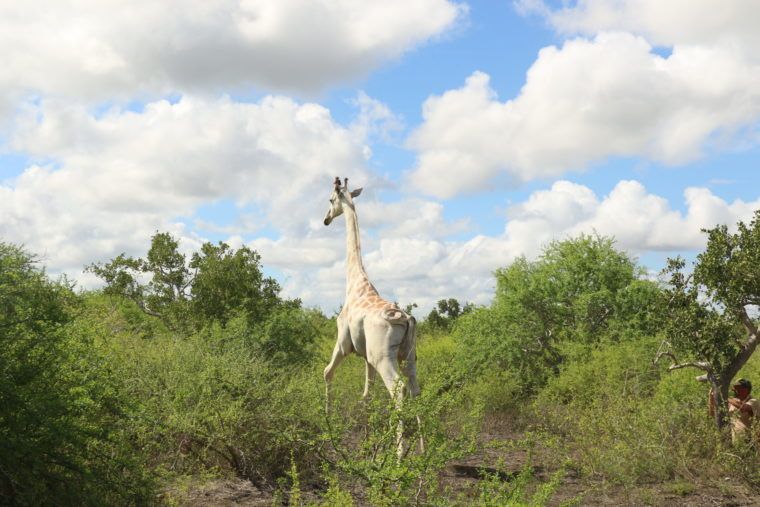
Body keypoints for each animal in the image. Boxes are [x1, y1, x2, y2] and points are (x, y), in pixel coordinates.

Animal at [322, 176, 421, 453]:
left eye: (330, 200)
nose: (325, 219)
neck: (355, 283)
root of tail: (406, 319)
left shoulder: (343, 342)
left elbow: (327, 372)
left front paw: (328, 424)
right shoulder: (365, 357)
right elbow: (367, 394)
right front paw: (368, 443)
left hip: (384, 357)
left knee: (398, 390)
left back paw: (400, 455)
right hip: (409, 356)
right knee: (415, 389)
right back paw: (423, 450)